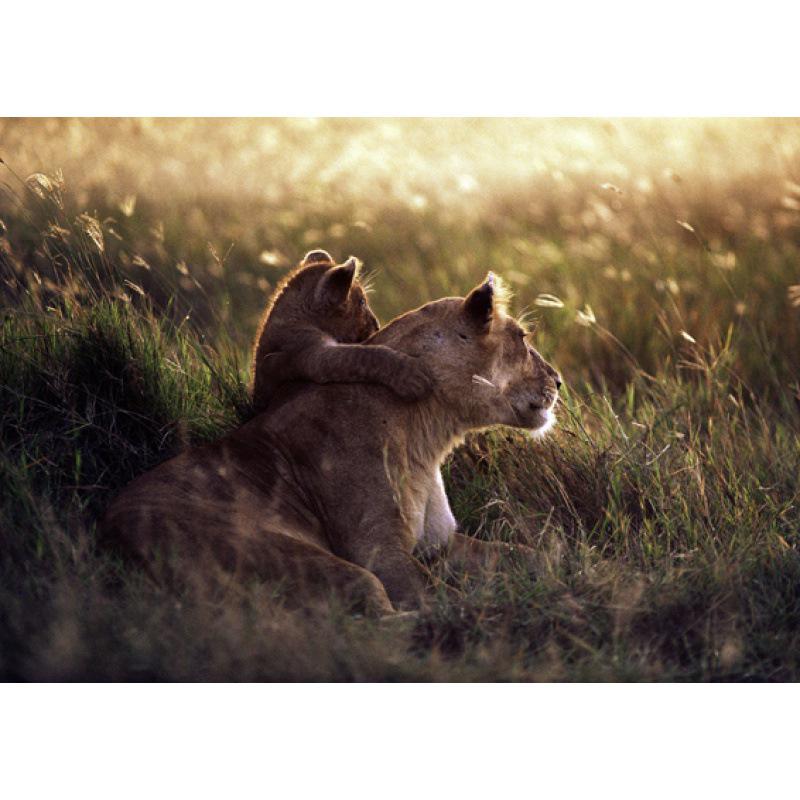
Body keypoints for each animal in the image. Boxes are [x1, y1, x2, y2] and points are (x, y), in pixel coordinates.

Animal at [100, 273, 561, 614]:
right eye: (522, 338)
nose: (558, 381)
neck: (428, 434)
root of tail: (109, 539)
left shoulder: (441, 543)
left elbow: (530, 554)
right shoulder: (377, 551)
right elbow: (441, 596)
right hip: (300, 558)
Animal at [250, 249, 432, 409]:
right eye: (362, 302)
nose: (377, 324)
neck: (298, 317)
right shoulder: (311, 355)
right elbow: (363, 355)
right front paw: (412, 376)